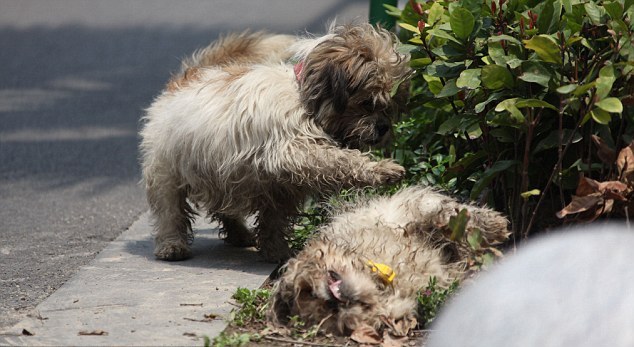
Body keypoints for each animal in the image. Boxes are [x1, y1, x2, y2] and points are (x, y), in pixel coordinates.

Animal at [138, 23, 410, 264]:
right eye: (368, 102)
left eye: (390, 106)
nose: (383, 127)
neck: (303, 99)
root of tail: (181, 82)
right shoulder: (291, 150)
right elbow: (339, 159)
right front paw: (381, 169)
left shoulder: (280, 186)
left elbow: (274, 220)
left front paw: (276, 251)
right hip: (167, 171)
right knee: (169, 209)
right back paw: (172, 245)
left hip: (222, 174)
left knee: (225, 206)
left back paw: (239, 233)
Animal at [268, 186, 508, 342]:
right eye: (330, 312)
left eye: (307, 292)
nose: (332, 299)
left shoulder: (397, 212)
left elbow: (439, 213)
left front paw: (493, 224)